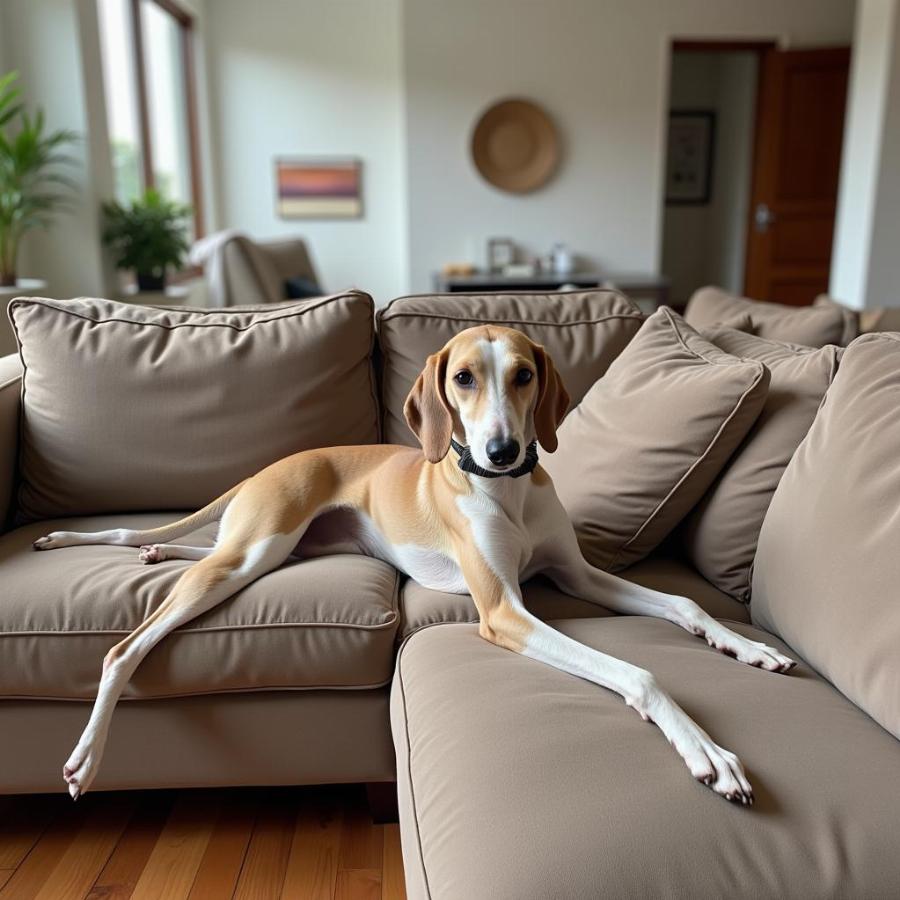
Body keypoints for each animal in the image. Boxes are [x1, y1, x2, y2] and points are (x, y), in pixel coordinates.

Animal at [35, 324, 796, 800]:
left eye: (523, 376)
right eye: (462, 379)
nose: (501, 451)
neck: (510, 493)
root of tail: (273, 465)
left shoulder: (575, 575)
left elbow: (684, 603)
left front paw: (749, 647)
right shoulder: (504, 611)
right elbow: (638, 671)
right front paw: (706, 749)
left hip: (275, 553)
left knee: (194, 548)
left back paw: (158, 546)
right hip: (252, 553)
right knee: (123, 648)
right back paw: (85, 755)